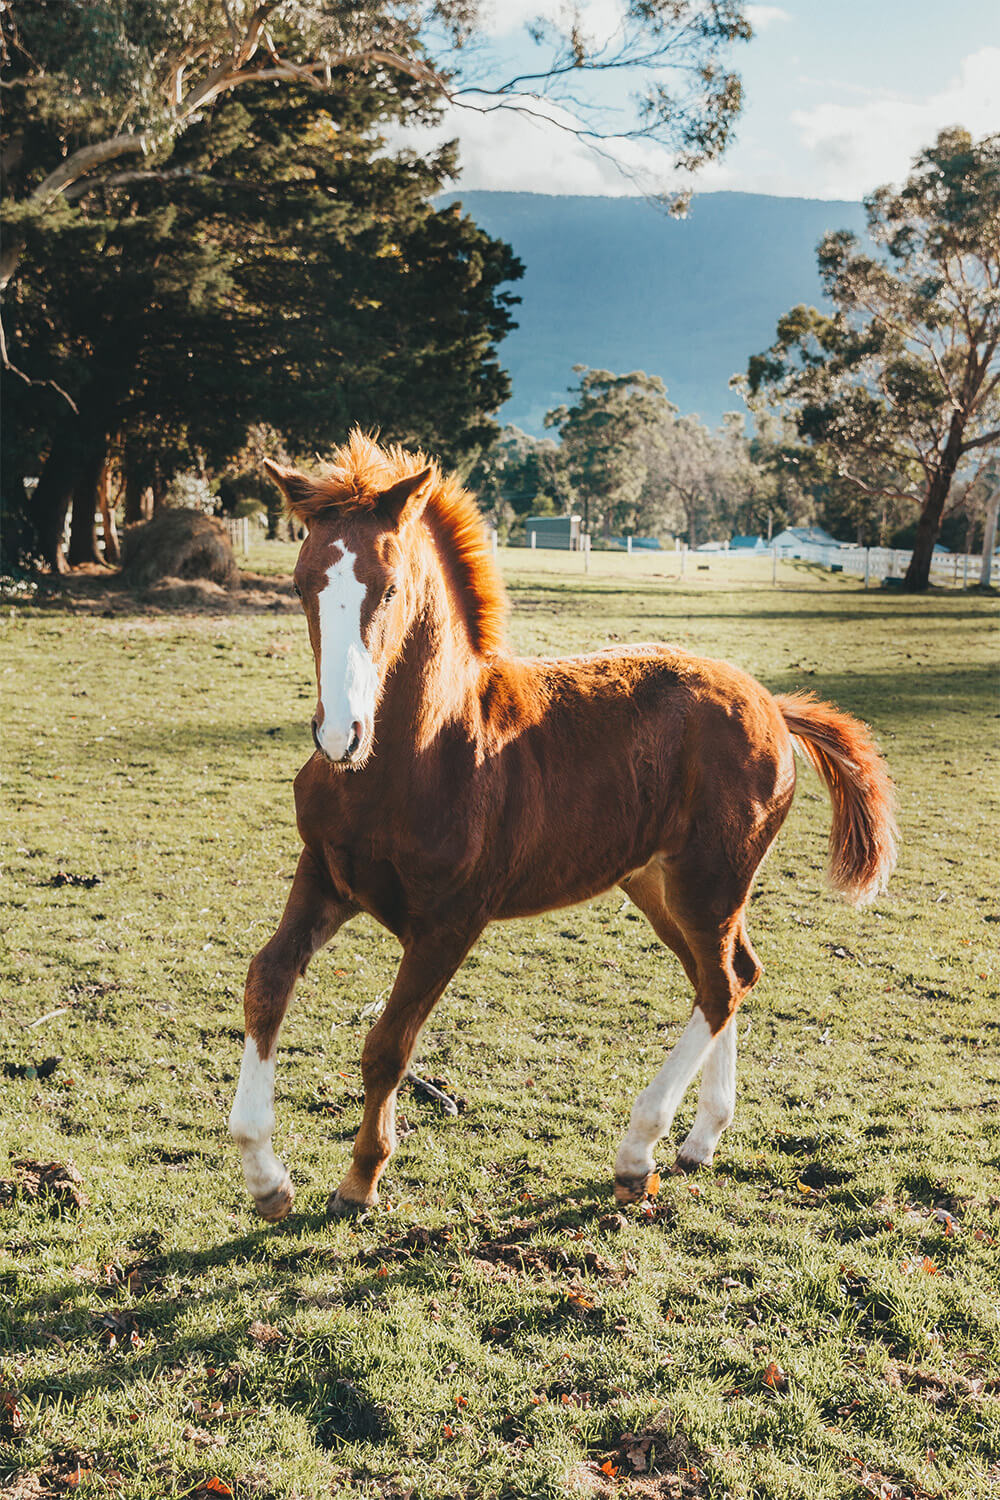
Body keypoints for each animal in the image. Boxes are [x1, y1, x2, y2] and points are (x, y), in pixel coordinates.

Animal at [228, 431, 898, 1220]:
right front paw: (266, 1176)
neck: (419, 755)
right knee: (727, 973)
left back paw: (638, 1153)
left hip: (710, 880)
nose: (339, 734)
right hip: (657, 884)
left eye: (388, 587)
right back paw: (700, 1140)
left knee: (723, 983)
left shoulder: (451, 921)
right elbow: (266, 982)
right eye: (303, 584)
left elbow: (387, 1045)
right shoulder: (327, 877)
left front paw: (361, 1178)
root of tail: (771, 702)